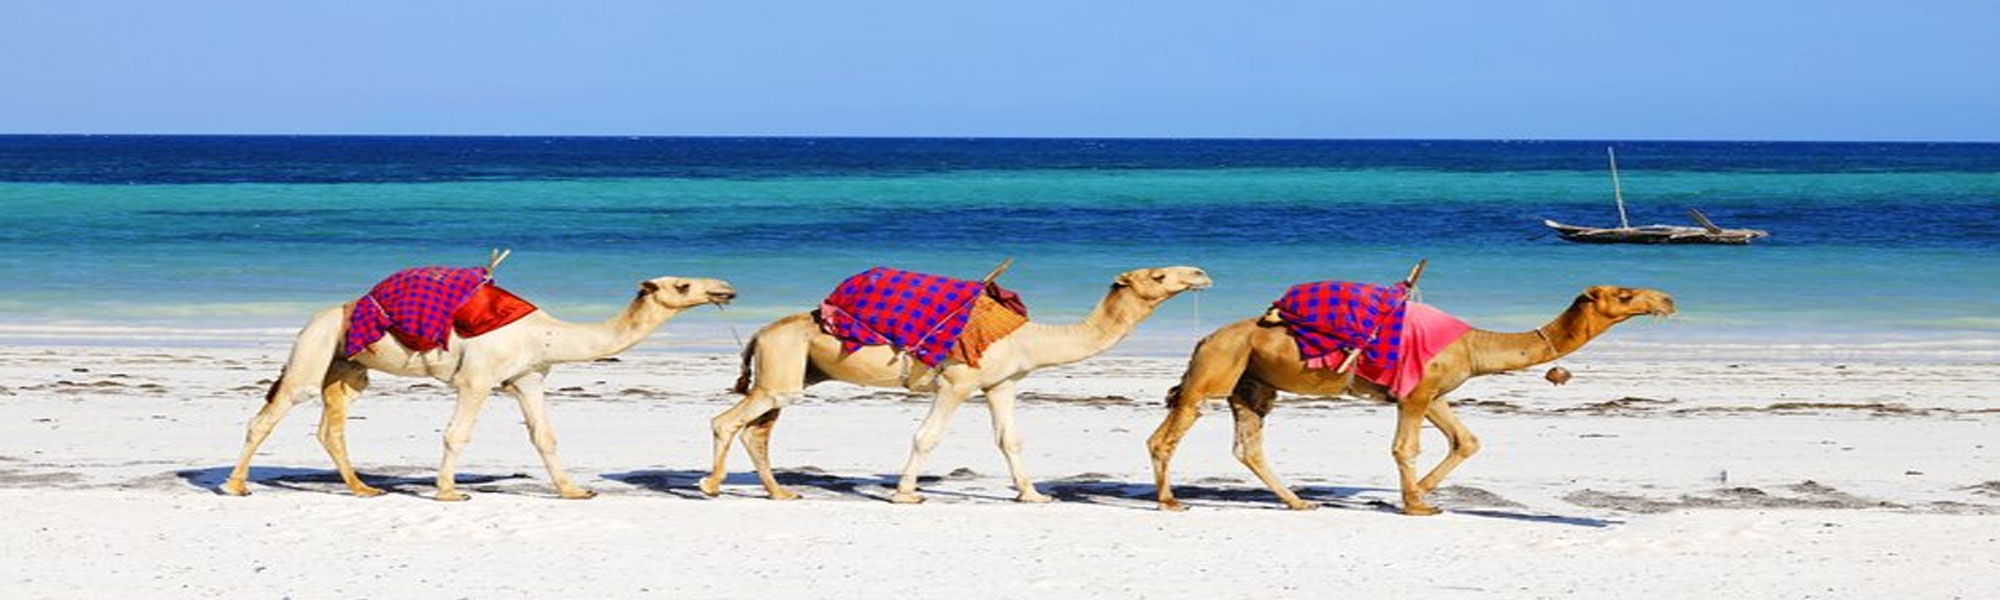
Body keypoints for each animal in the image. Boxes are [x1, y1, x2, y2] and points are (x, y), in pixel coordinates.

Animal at [221, 271, 737, 501]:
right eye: (683, 285)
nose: (726, 288)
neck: (545, 334)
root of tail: (318, 316)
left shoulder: (528, 379)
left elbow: (545, 437)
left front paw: (574, 491)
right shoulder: (478, 378)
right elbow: (457, 434)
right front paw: (449, 492)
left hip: (346, 366)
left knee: (332, 426)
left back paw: (364, 488)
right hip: (314, 351)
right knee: (270, 413)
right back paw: (236, 486)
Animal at [702, 266, 1212, 503]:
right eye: (1158, 275)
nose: (1200, 274)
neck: (1028, 338)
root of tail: (760, 332)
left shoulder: (1003, 384)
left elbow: (1010, 439)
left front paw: (1032, 494)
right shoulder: (957, 381)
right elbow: (927, 436)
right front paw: (906, 493)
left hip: (794, 371)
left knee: (758, 430)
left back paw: (780, 492)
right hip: (781, 369)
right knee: (727, 421)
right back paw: (710, 486)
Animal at [1146, 284, 1674, 515]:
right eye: (1625, 296)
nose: (1668, 300)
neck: (1474, 345)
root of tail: (1206, 337)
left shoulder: (1433, 392)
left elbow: (1467, 441)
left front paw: (1419, 494)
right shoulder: (1414, 395)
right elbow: (1405, 447)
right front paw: (1416, 505)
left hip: (1252, 383)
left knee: (1247, 445)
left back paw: (1299, 502)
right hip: (1215, 370)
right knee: (1169, 433)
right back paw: (1170, 501)